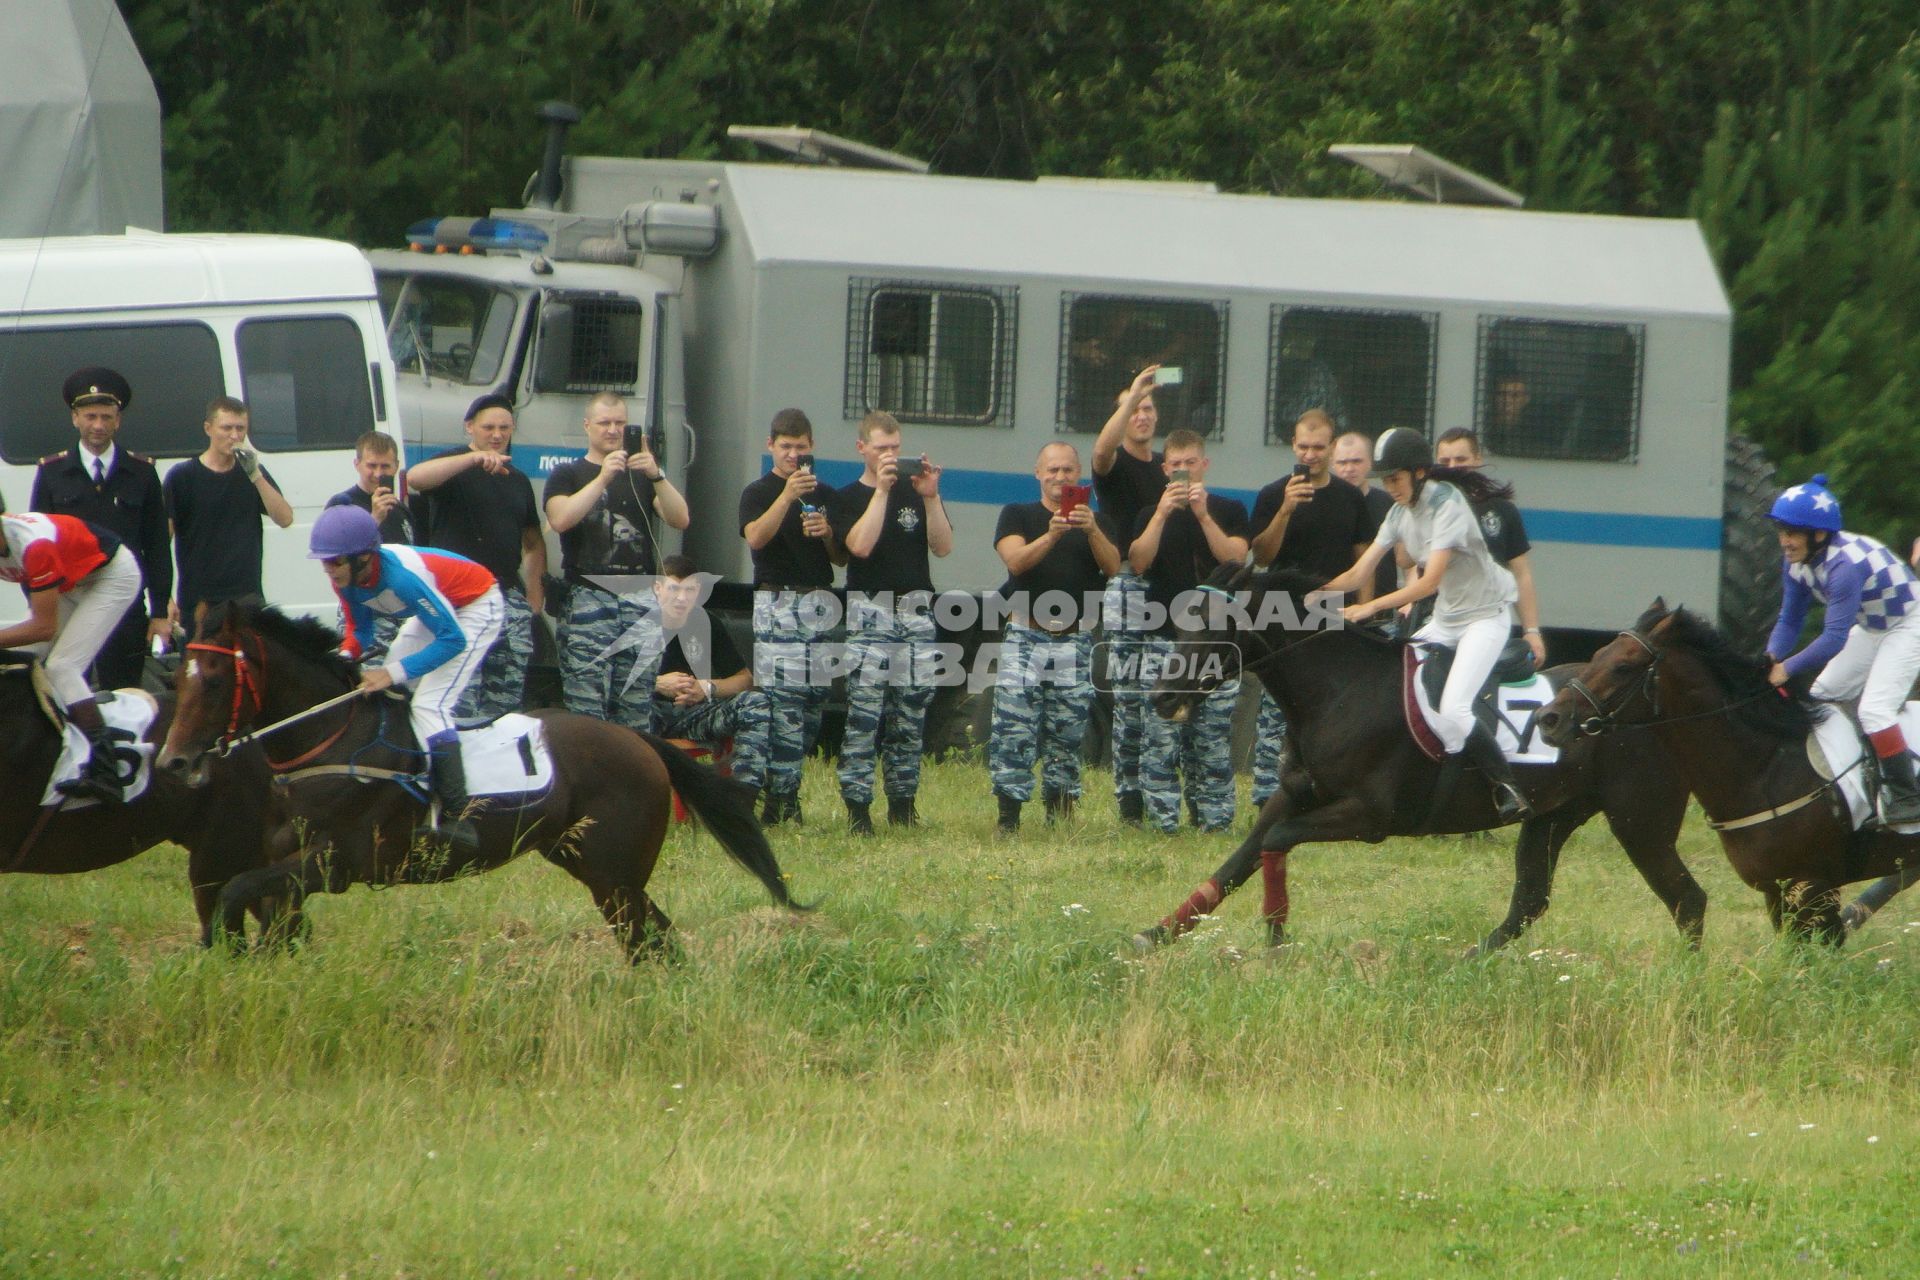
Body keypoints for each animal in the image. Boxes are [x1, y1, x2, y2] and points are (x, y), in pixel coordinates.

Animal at [153, 602, 802, 959]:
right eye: (177, 678)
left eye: (216, 680)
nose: (173, 763)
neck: (332, 738)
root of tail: (640, 740)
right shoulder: (287, 865)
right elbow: (256, 905)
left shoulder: (336, 861)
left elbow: (235, 892)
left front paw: (225, 950)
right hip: (594, 866)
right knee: (655, 941)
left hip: (613, 873)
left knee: (650, 940)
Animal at [1128, 568, 1704, 951]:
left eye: (1213, 625)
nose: (1160, 697)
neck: (1339, 690)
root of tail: (1665, 707)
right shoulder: (1295, 793)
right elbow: (1236, 863)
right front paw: (1155, 935)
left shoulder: (1369, 816)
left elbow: (1275, 843)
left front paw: (1275, 937)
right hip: (1554, 816)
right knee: (1529, 902)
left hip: (1639, 821)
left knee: (1686, 899)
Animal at [1543, 598, 1920, 940]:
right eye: (1596, 655)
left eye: (1622, 666)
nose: (1549, 719)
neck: (1766, 769)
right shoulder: (1776, 888)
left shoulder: (1815, 884)